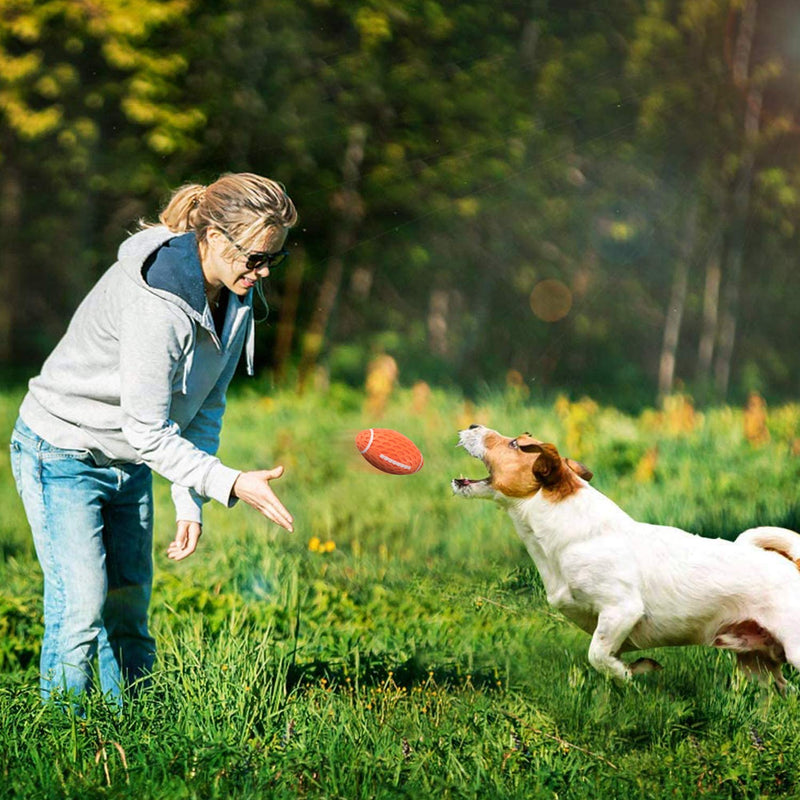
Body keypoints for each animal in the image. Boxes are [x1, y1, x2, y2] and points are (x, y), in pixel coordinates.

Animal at [454, 424, 800, 692]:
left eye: (515, 443)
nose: (472, 425)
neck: (571, 532)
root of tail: (791, 566)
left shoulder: (621, 610)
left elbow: (597, 655)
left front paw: (628, 673)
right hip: (756, 664)